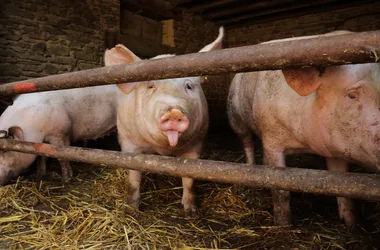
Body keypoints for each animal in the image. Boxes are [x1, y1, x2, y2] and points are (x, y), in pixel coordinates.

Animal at [103, 26, 223, 215]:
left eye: (188, 86)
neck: (162, 149)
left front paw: (191, 211)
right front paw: (131, 209)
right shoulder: (129, 142)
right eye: (151, 86)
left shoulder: (196, 143)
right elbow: (134, 177)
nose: (174, 111)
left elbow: (189, 178)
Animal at [227, 30, 380, 228]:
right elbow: (281, 191)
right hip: (235, 117)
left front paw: (352, 225)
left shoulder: (334, 149)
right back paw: (250, 168)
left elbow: (342, 185)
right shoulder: (271, 141)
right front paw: (283, 226)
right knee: (247, 143)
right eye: (352, 95)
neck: (306, 143)